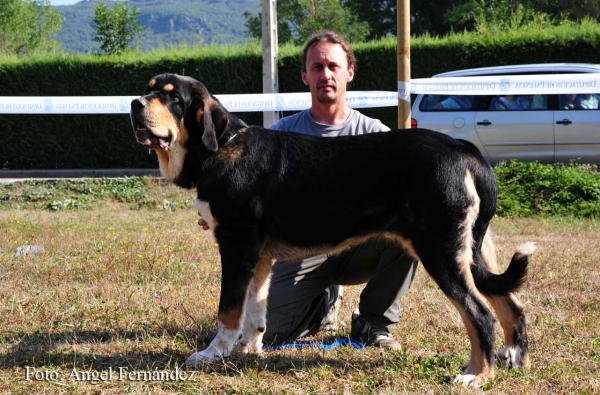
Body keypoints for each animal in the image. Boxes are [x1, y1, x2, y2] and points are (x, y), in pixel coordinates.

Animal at [131, 73, 536, 386]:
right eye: (150, 89)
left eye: (173, 97)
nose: (135, 103)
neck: (220, 149)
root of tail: (463, 150)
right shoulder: (259, 259)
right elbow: (256, 313)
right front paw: (249, 350)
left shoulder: (235, 249)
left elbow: (228, 310)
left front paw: (213, 353)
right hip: (472, 250)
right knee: (510, 303)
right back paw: (514, 358)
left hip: (440, 251)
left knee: (479, 314)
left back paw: (476, 375)